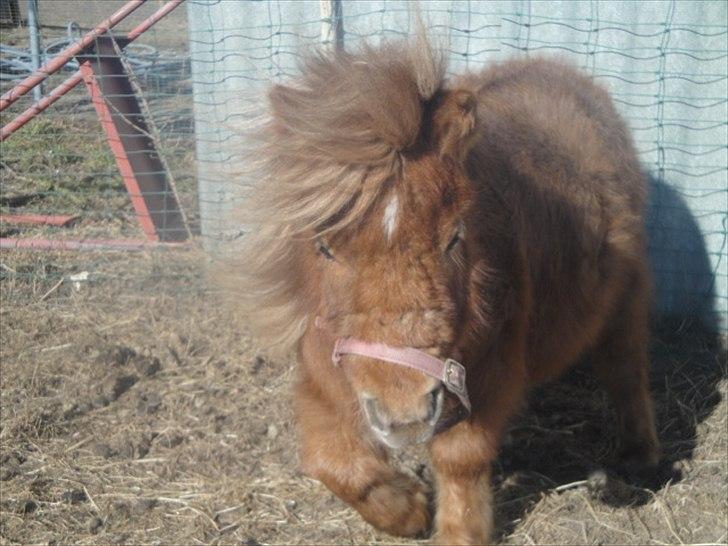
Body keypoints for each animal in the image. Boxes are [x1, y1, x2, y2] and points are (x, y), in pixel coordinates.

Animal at [216, 33, 660, 544]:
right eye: (323, 247)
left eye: (454, 238)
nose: (404, 415)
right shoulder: (321, 371)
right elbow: (329, 460)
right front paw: (407, 508)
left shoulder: (488, 370)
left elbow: (460, 459)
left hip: (625, 299)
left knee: (626, 370)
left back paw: (636, 466)